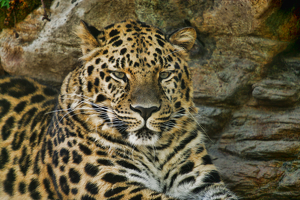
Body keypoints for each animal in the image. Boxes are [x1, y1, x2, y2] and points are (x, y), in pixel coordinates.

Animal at [0, 19, 239, 200]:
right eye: (119, 75)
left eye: (164, 74)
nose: (146, 110)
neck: (154, 153)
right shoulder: (113, 187)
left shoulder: (202, 185)